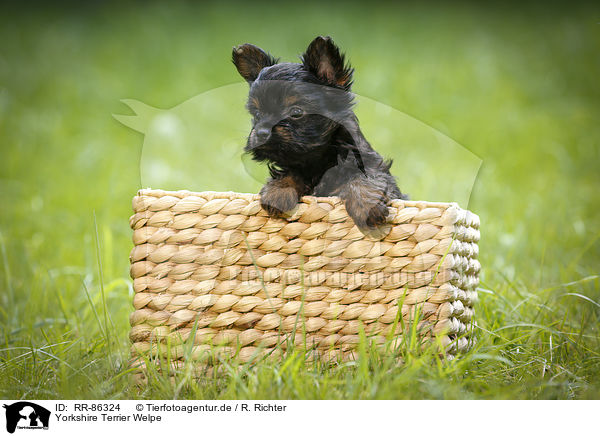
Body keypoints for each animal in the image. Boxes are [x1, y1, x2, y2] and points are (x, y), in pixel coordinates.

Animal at [232, 35, 406, 228]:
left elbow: (365, 179)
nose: (262, 132)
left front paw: (366, 205)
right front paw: (278, 191)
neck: (316, 160)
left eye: (296, 112)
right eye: (257, 114)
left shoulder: (371, 166)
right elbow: (289, 173)